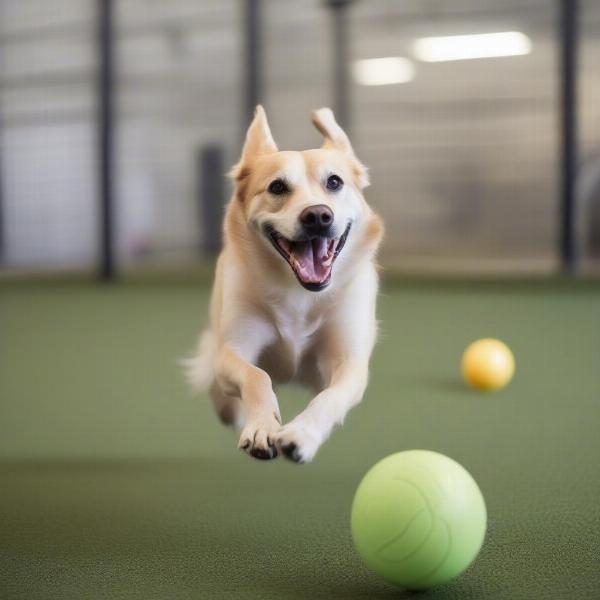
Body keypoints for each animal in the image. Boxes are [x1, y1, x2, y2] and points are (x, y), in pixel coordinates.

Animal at [185, 105, 384, 464]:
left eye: (335, 182)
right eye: (277, 187)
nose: (318, 216)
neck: (299, 294)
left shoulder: (349, 362)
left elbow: (329, 397)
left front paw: (301, 435)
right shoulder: (234, 348)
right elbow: (256, 376)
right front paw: (262, 427)